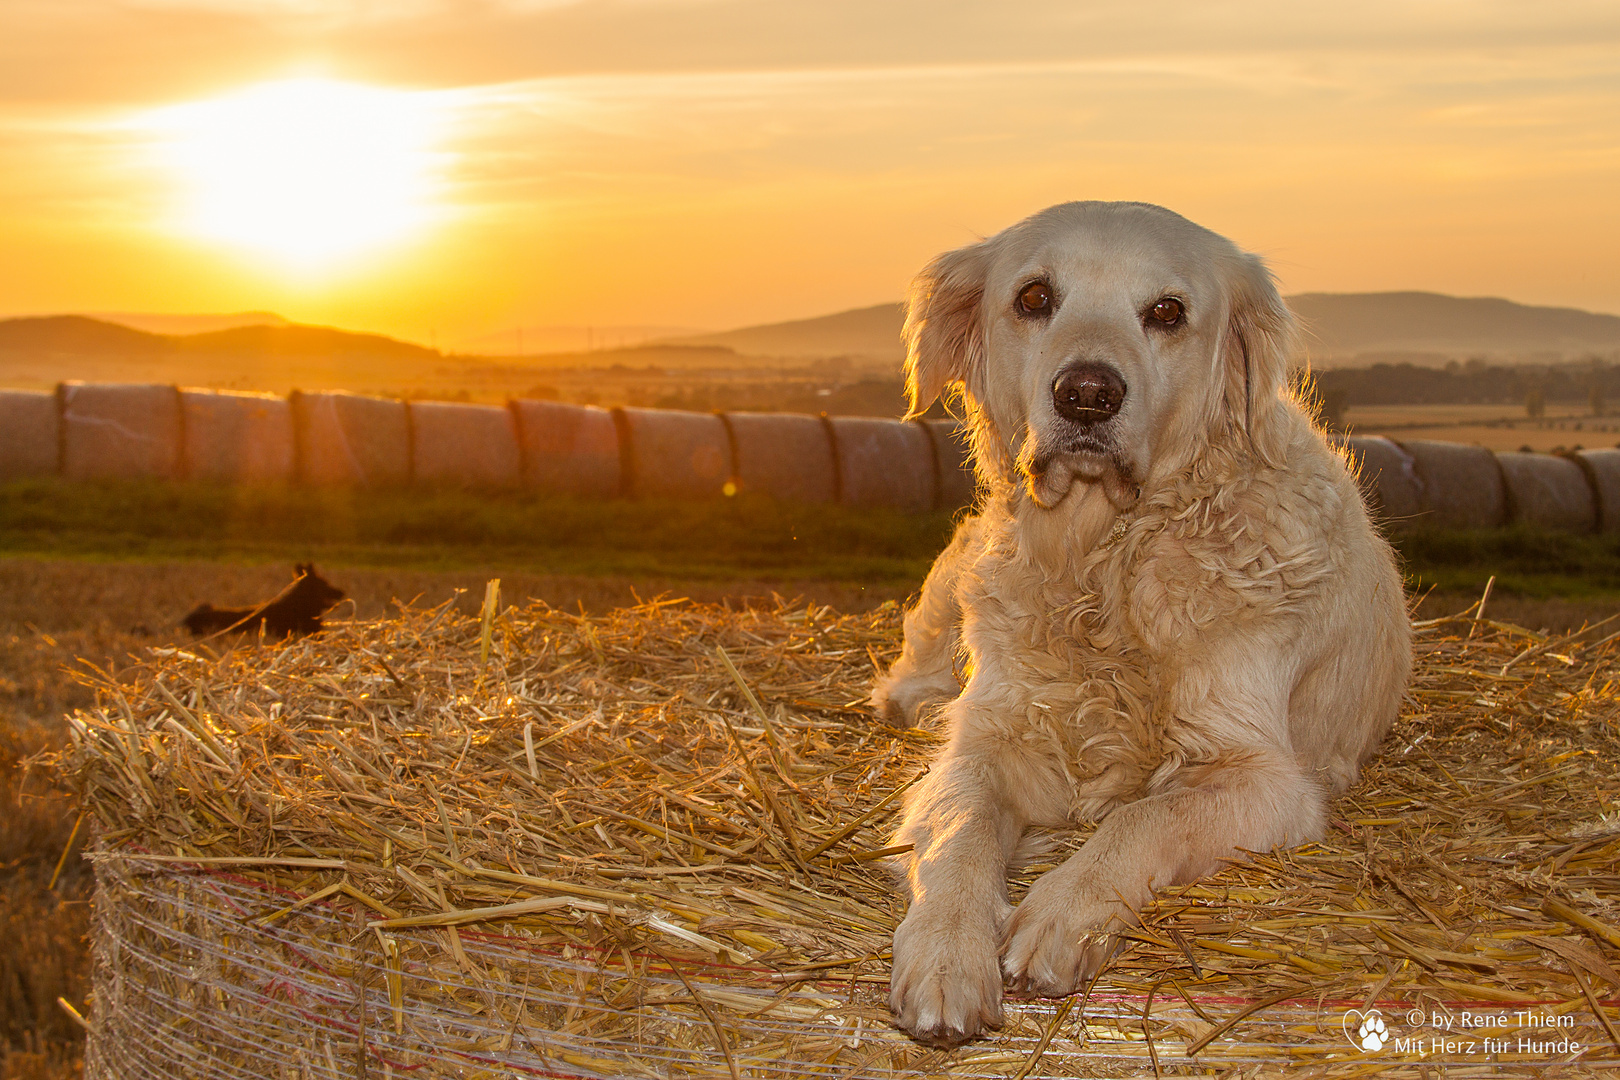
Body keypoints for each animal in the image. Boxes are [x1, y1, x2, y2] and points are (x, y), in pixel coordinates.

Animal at [874, 200, 1406, 1049]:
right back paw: (924, 704)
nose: (1088, 394)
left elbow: (1146, 817)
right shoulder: (989, 743)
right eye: (1033, 298)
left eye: (1167, 313)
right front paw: (946, 953)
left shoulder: (1265, 778)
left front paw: (1062, 914)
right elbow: (960, 830)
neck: (1105, 567)